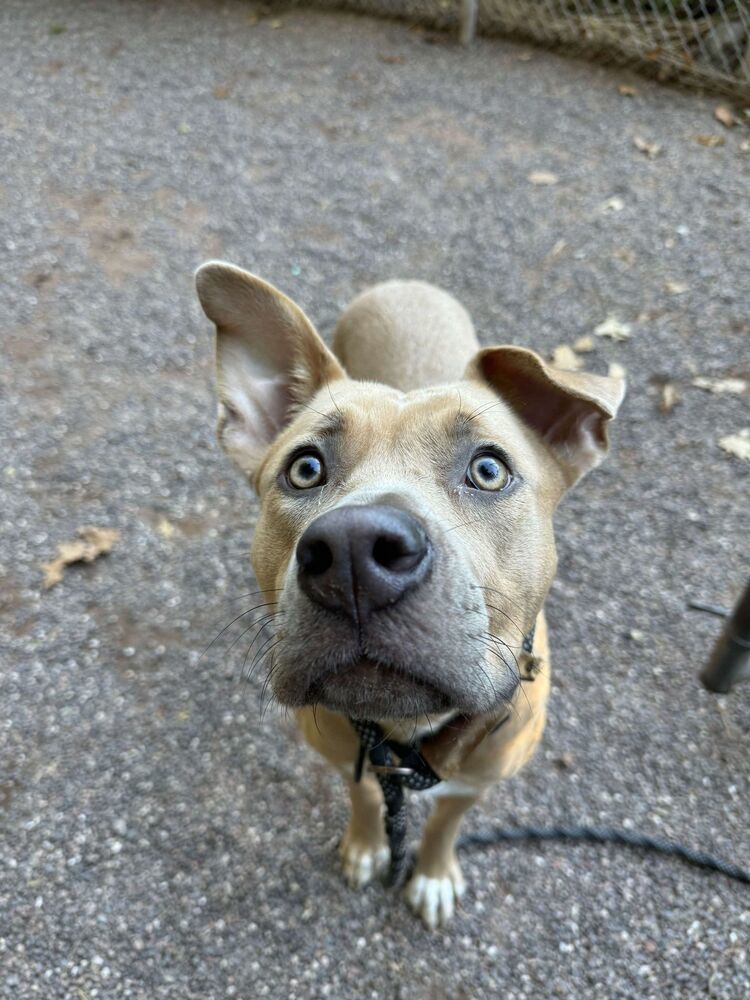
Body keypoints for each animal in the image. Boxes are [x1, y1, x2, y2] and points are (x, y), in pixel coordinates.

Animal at [194, 264, 624, 928]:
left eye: (489, 471)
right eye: (305, 469)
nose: (353, 551)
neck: (405, 736)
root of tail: (404, 283)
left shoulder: (476, 784)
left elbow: (445, 824)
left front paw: (434, 872)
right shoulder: (346, 755)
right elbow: (365, 799)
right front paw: (368, 845)